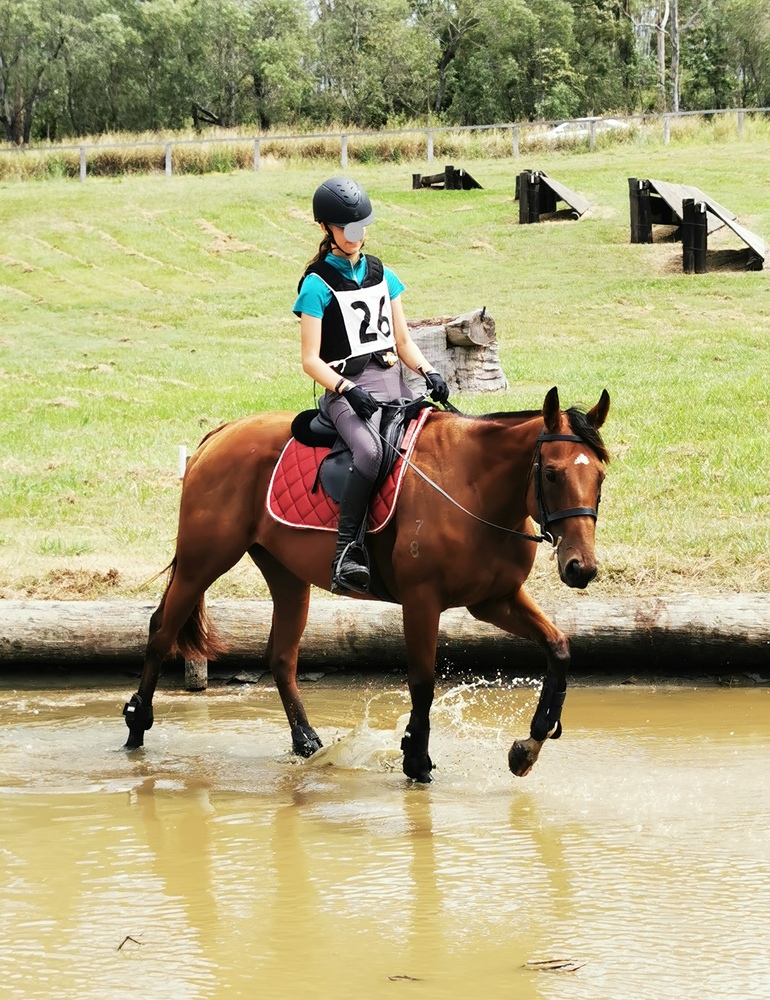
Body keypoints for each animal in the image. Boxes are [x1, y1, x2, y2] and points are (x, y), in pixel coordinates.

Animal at [122, 385, 610, 782]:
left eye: (600, 476)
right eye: (551, 473)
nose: (580, 568)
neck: (474, 487)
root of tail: (222, 433)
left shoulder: (495, 600)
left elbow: (559, 647)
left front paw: (529, 745)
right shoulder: (422, 601)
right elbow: (422, 681)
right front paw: (416, 760)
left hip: (286, 575)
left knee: (281, 656)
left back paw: (306, 742)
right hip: (202, 563)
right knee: (161, 631)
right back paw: (135, 726)